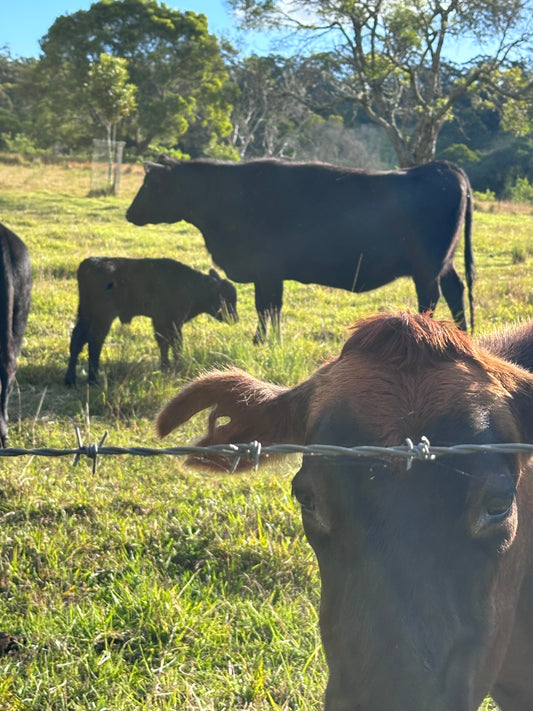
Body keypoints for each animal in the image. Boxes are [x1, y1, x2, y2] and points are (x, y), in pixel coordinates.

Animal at [64, 257, 238, 386]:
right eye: (225, 298)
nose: (235, 318)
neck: (193, 286)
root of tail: (90, 263)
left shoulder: (162, 322)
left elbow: (165, 343)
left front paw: (166, 366)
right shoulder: (171, 321)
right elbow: (174, 343)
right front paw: (175, 365)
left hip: (85, 314)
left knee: (77, 340)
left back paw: (70, 380)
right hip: (103, 317)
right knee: (94, 341)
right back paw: (93, 379)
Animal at [126, 158, 475, 342]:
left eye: (152, 185)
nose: (129, 213)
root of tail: (441, 167)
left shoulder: (266, 270)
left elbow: (265, 307)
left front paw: (261, 340)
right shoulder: (269, 274)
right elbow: (271, 307)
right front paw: (270, 340)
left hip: (426, 268)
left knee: (431, 299)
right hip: (444, 263)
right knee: (455, 290)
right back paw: (463, 334)